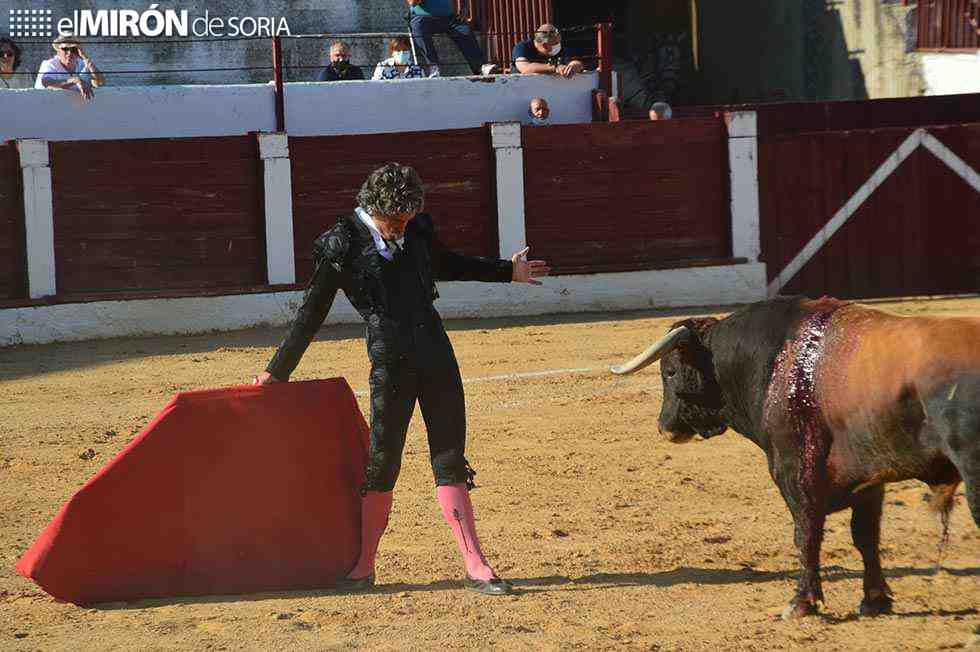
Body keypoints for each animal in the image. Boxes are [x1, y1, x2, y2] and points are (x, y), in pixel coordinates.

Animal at [616, 296, 976, 616]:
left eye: (670, 371)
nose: (664, 427)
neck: (774, 363)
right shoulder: (870, 480)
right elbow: (865, 537)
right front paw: (875, 601)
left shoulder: (795, 473)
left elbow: (806, 534)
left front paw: (801, 603)